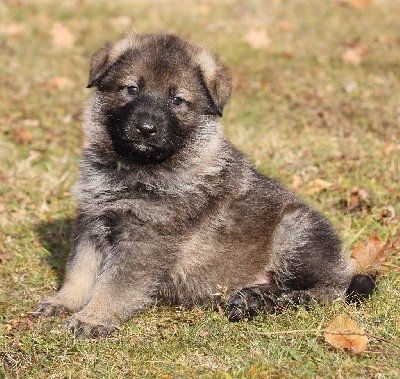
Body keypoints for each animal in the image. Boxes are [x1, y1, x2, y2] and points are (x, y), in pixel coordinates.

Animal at [35, 31, 376, 336]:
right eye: (131, 89)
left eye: (177, 100)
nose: (146, 128)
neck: (137, 168)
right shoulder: (91, 223)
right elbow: (80, 270)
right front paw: (64, 302)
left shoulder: (144, 240)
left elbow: (115, 285)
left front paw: (93, 318)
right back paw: (252, 299)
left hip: (295, 231)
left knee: (332, 289)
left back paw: (280, 299)